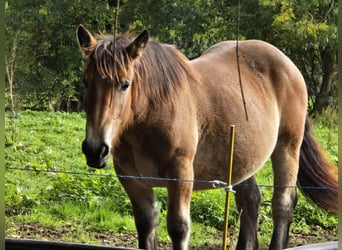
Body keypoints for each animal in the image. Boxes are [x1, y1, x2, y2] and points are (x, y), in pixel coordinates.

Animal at [75, 23, 336, 250]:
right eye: (86, 81)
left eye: (125, 84)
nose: (95, 150)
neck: (152, 112)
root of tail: (288, 65)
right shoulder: (132, 181)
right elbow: (146, 226)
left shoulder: (181, 175)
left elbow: (178, 228)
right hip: (242, 157)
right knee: (250, 202)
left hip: (287, 148)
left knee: (283, 204)